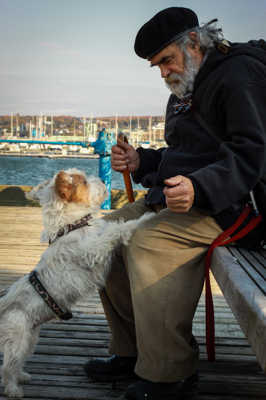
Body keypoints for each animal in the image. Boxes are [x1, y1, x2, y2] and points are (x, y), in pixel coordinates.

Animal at [0, 169, 152, 396]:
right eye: (85, 182)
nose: (103, 179)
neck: (72, 225)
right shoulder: (93, 251)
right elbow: (114, 231)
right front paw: (142, 220)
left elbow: (110, 229)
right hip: (17, 339)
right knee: (7, 367)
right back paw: (13, 389)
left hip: (29, 338)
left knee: (17, 363)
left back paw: (22, 376)